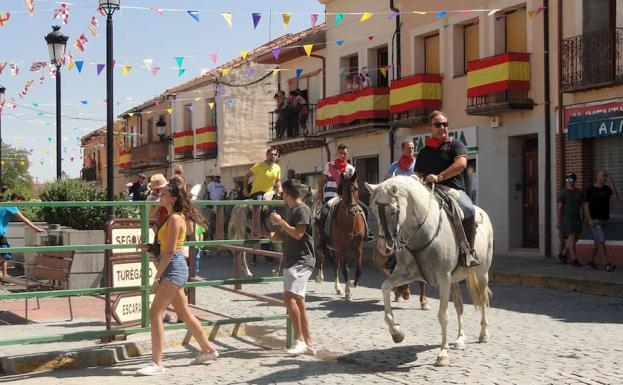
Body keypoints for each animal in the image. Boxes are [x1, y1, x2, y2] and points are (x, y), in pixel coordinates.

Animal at [316, 171, 366, 300]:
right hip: (321, 241)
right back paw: (319, 277)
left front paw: (353, 284)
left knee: (335, 265)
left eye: (356, 188)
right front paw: (348, 291)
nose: (352, 210)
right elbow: (345, 270)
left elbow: (359, 269)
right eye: (343, 189)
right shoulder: (343, 247)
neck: (351, 223)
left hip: (336, 248)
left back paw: (338, 288)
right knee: (321, 257)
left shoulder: (358, 246)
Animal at [366, 174, 492, 366]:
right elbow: (385, 288)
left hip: (481, 274)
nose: (383, 249)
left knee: (482, 300)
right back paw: (460, 339)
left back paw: (483, 334)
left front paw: (443, 353)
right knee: (459, 306)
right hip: (455, 280)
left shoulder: (443, 279)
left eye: (394, 211)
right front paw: (397, 333)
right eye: (373, 211)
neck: (423, 230)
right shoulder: (407, 274)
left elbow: (442, 315)